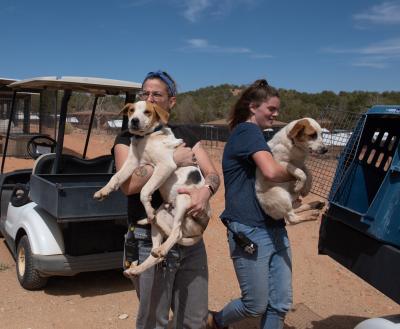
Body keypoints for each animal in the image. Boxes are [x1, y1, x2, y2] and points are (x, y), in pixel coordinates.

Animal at [94, 100, 211, 274]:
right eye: (131, 110)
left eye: (147, 112)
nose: (134, 121)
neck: (146, 137)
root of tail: (203, 228)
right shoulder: (133, 163)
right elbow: (116, 177)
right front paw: (103, 191)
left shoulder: (165, 165)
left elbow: (144, 190)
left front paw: (148, 208)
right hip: (162, 216)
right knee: (155, 253)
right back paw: (136, 267)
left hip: (183, 199)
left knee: (176, 233)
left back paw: (158, 238)